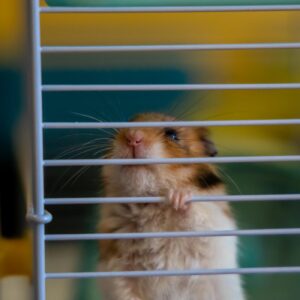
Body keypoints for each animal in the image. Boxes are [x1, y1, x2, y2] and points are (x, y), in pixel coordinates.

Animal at [98, 113, 244, 300]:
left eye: (172, 134)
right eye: (127, 125)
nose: (132, 137)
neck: (149, 202)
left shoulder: (213, 227)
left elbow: (196, 218)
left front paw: (177, 197)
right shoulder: (116, 268)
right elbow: (124, 291)